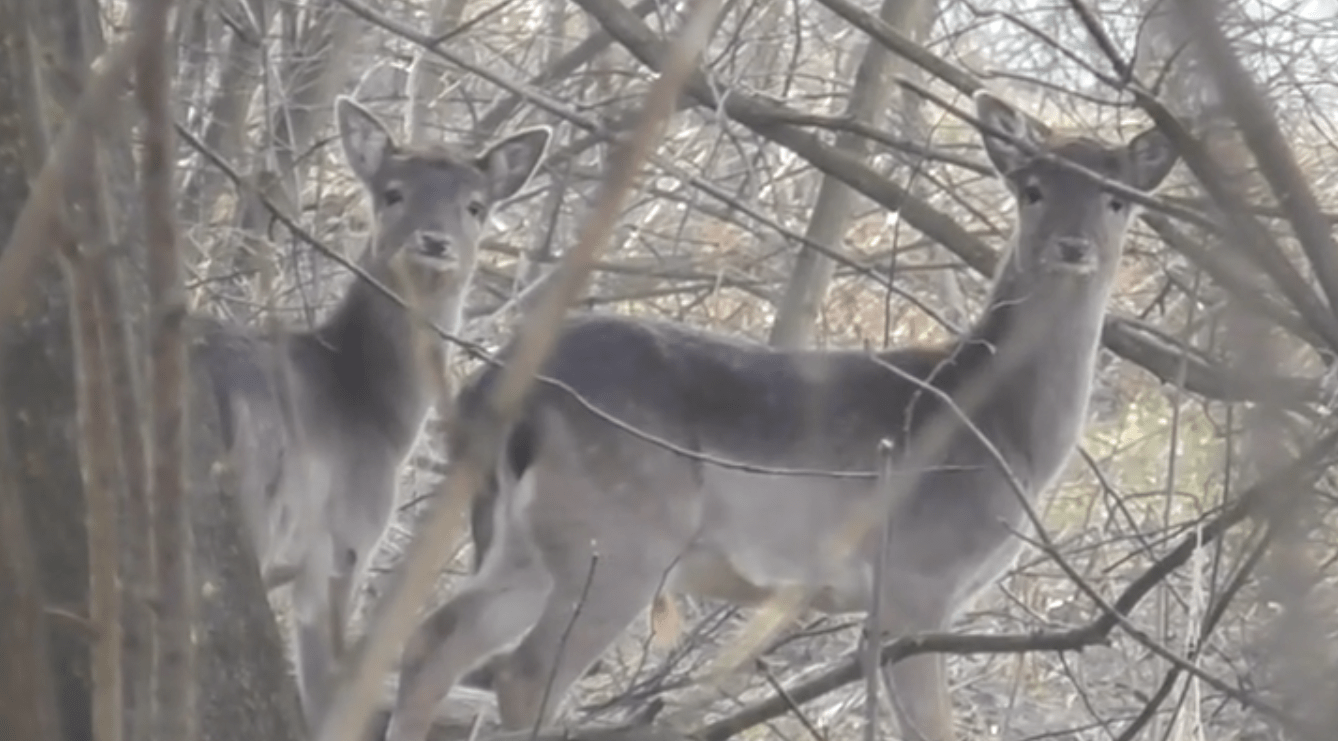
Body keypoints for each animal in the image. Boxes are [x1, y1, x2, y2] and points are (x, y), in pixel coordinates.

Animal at [185, 96, 545, 727]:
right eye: (392, 192)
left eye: (475, 205)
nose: (433, 241)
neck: (377, 412)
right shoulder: (344, 539)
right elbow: (327, 691)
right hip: (253, 507)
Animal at [382, 90, 1177, 738]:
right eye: (1032, 188)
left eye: (1116, 198)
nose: (1071, 246)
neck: (999, 428)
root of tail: (492, 388)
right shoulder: (916, 579)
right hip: (619, 533)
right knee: (524, 672)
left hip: (520, 539)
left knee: (436, 639)